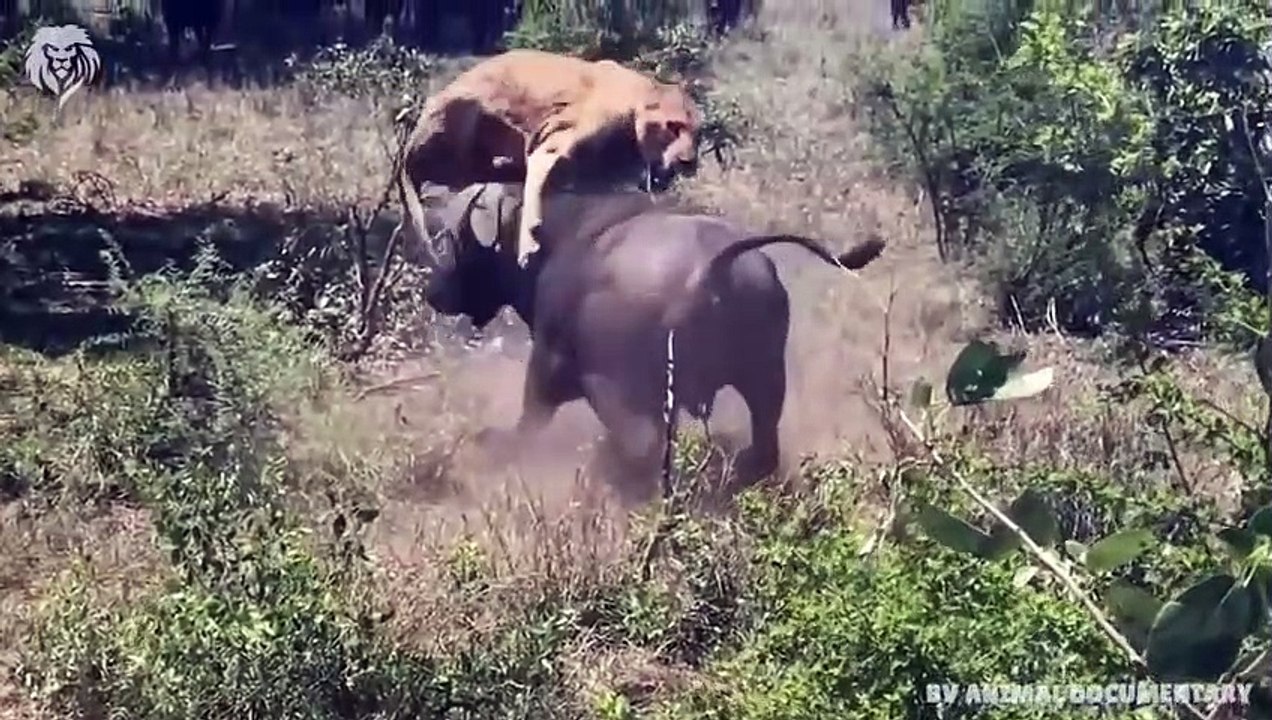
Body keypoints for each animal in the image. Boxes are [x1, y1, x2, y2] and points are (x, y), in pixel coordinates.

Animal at [395, 48, 703, 269]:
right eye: (673, 126)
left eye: (697, 132)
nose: (689, 162)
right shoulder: (554, 143)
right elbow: (538, 180)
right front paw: (528, 243)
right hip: (467, 110)